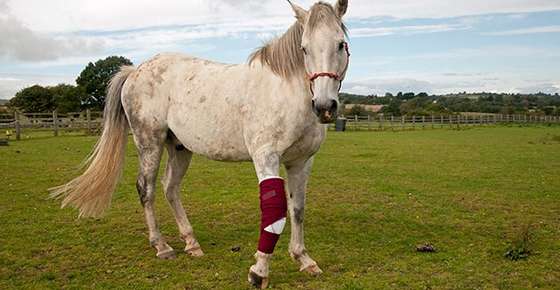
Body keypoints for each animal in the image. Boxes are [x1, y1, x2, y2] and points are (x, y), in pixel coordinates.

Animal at [52, 0, 350, 288]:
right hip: (149, 143)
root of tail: (136, 70)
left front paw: (304, 259)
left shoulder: (301, 161)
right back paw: (161, 246)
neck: (285, 92)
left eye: (340, 44)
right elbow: (274, 212)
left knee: (170, 188)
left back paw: (191, 242)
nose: (324, 107)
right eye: (304, 49)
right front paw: (259, 272)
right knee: (146, 189)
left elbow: (297, 208)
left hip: (179, 148)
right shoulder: (266, 157)